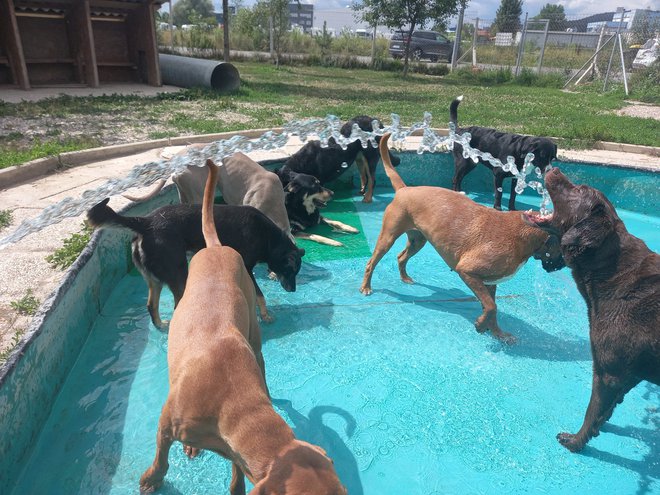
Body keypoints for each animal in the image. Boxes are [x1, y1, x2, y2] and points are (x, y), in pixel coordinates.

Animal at [86, 200, 306, 328]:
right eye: (291, 270)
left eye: (296, 272)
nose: (293, 290)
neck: (268, 237)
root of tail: (145, 222)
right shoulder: (247, 267)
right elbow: (260, 295)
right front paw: (266, 316)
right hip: (179, 275)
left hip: (155, 279)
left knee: (151, 306)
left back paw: (161, 325)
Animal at [139, 160, 346, 495]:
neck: (237, 403)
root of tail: (215, 246)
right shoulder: (166, 422)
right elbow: (161, 453)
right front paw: (152, 478)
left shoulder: (234, 452)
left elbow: (237, 471)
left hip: (253, 337)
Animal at [358, 134, 564, 346]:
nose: (561, 266)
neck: (526, 231)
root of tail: (404, 189)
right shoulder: (467, 271)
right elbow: (492, 307)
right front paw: (482, 326)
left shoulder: (489, 283)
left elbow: (492, 308)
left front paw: (497, 333)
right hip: (388, 238)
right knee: (371, 263)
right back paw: (366, 287)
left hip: (418, 241)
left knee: (401, 257)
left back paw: (405, 277)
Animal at [524, 168, 656, 454]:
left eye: (579, 189)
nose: (553, 168)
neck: (612, 271)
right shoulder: (627, 372)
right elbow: (605, 411)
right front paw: (600, 428)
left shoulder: (608, 373)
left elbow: (591, 411)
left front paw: (576, 442)